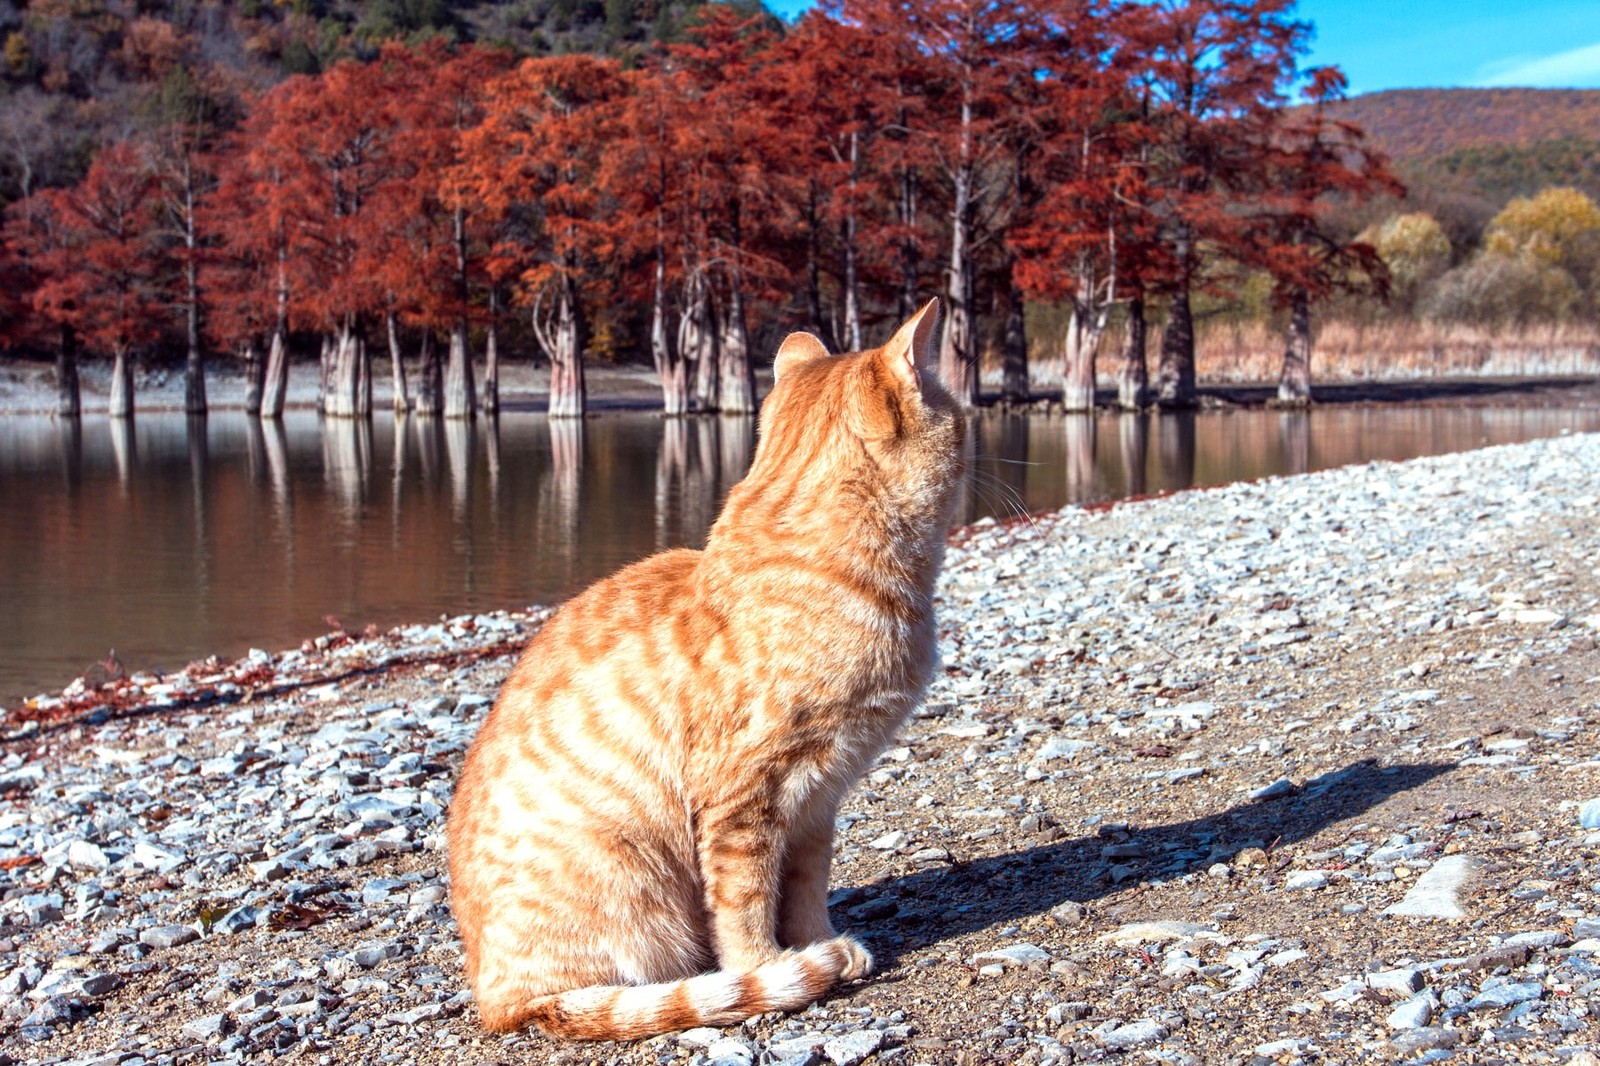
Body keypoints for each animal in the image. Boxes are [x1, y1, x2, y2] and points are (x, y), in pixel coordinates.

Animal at [448, 299, 960, 1037]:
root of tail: (495, 999)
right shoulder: (744, 796)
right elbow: (744, 902)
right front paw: (770, 968)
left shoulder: (820, 797)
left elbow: (805, 886)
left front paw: (819, 942)